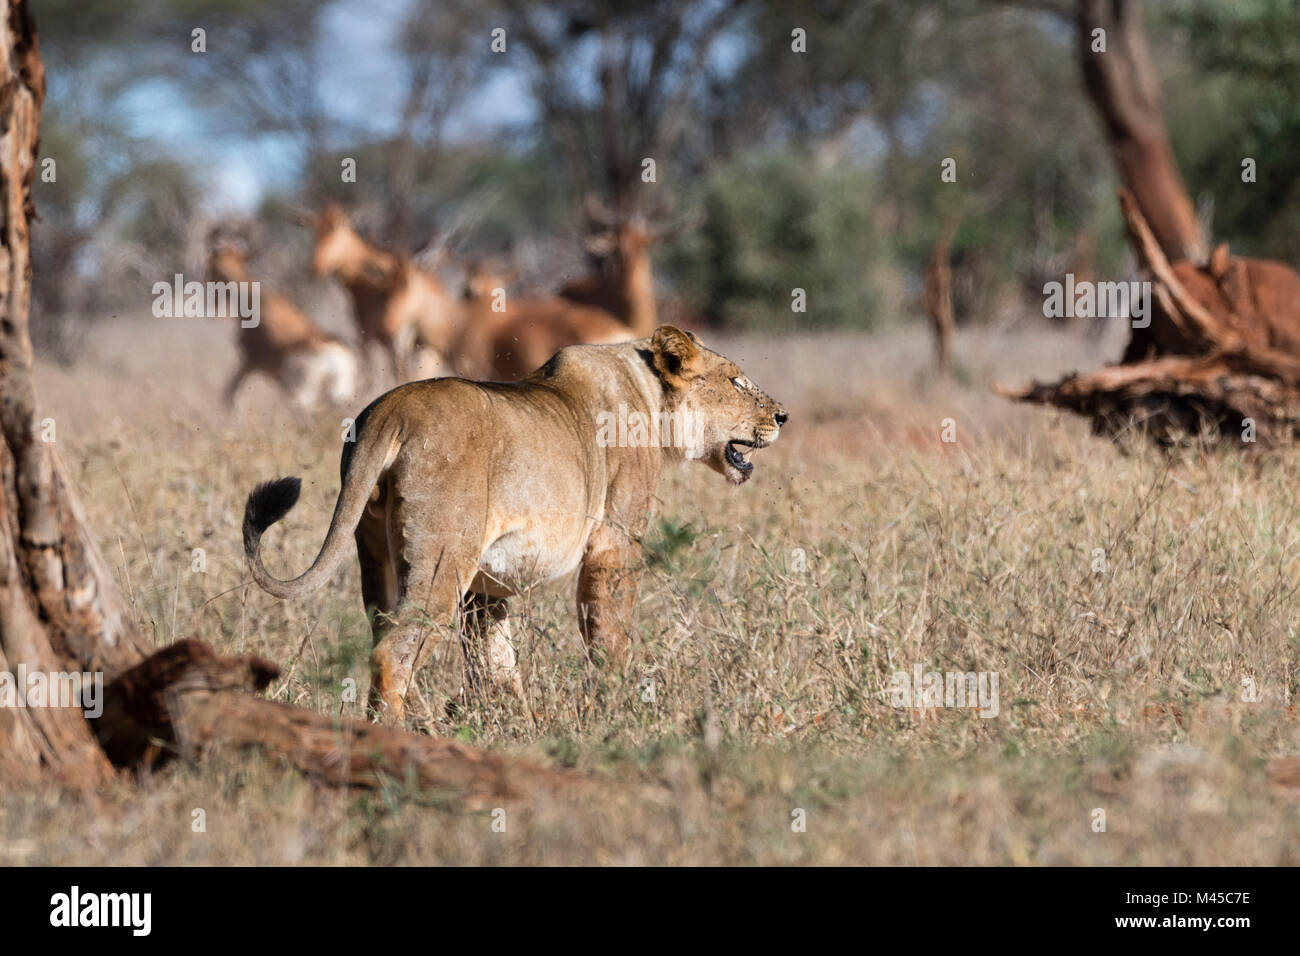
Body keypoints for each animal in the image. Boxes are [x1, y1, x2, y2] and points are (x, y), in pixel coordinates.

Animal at [209, 234, 361, 413]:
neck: (258, 298)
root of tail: (331, 356)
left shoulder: (249, 361)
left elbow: (231, 396)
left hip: (301, 395)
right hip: (340, 396)